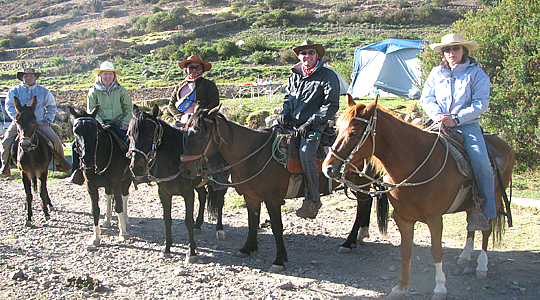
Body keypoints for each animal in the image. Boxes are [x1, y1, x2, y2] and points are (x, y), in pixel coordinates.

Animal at [11, 95, 53, 225]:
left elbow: (42, 191)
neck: (32, 154)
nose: (25, 144)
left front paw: (46, 213)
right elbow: (28, 195)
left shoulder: (43, 171)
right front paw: (28, 218)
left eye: (34, 121)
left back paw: (49, 204)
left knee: (43, 189)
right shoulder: (24, 173)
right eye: (17, 121)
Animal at [68, 105, 132, 248]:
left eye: (94, 131)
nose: (87, 159)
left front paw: (123, 232)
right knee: (108, 196)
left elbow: (118, 205)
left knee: (124, 196)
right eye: (75, 131)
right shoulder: (90, 186)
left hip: (127, 179)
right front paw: (96, 237)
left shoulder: (116, 183)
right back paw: (107, 220)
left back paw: (125, 220)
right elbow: (95, 210)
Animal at [127, 103, 227, 262]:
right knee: (203, 196)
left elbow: (188, 221)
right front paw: (167, 248)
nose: (136, 167)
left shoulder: (187, 193)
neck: (173, 160)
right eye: (129, 134)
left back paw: (219, 229)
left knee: (219, 202)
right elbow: (167, 219)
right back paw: (199, 224)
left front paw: (192, 252)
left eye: (149, 134)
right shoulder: (164, 193)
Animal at [320, 95, 516, 298]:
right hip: (473, 202)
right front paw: (400, 287)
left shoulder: (435, 218)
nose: (328, 167)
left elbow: (437, 251)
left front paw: (440, 288)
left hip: (495, 197)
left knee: (487, 228)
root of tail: (504, 144)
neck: (416, 163)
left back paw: (481, 266)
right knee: (472, 223)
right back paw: (465, 256)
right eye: (337, 129)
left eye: (354, 132)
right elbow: (406, 251)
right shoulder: (403, 218)